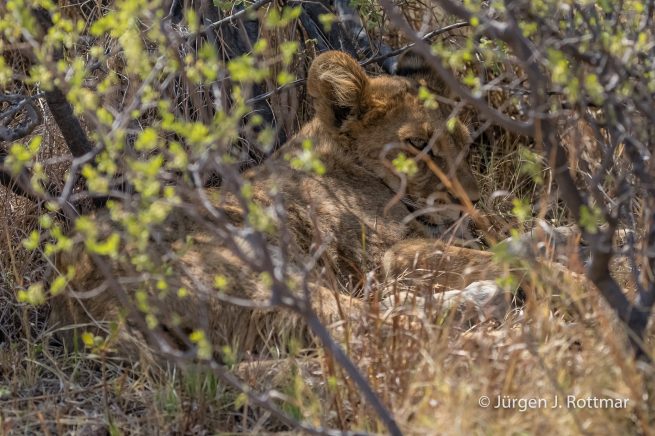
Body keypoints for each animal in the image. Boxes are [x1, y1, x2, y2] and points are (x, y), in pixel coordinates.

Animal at [50, 50, 508, 361]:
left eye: (465, 142)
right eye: (417, 144)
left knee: (389, 309)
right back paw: (489, 323)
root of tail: (78, 306)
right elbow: (486, 257)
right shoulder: (385, 254)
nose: (473, 201)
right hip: (263, 271)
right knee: (373, 323)